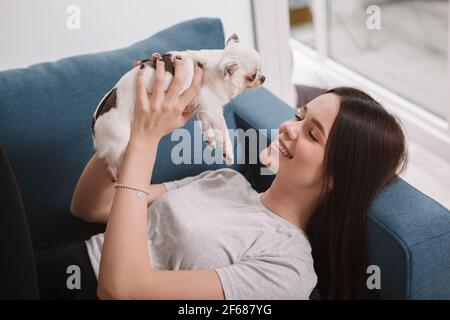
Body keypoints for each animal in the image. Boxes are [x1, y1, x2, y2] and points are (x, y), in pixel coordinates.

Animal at [92, 34, 266, 181]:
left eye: (259, 72)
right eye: (253, 75)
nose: (263, 78)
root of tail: (94, 127)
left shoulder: (202, 104)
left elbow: (204, 122)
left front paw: (209, 137)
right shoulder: (213, 109)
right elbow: (223, 129)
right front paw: (228, 152)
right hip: (121, 143)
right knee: (111, 162)